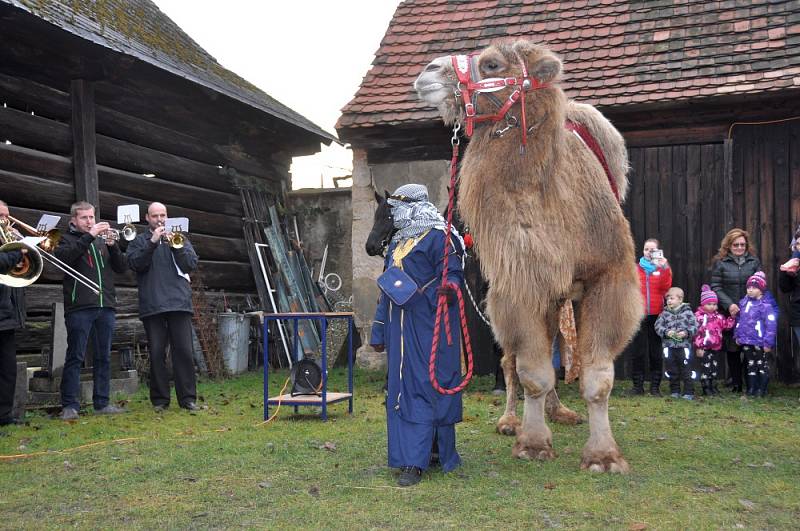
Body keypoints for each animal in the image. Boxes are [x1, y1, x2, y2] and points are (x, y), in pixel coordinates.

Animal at [416, 41, 640, 474]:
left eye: (491, 63)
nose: (427, 72)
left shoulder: (608, 277)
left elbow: (598, 378)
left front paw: (604, 456)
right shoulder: (520, 284)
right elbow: (532, 372)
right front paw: (533, 443)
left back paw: (560, 412)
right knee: (511, 362)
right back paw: (510, 420)